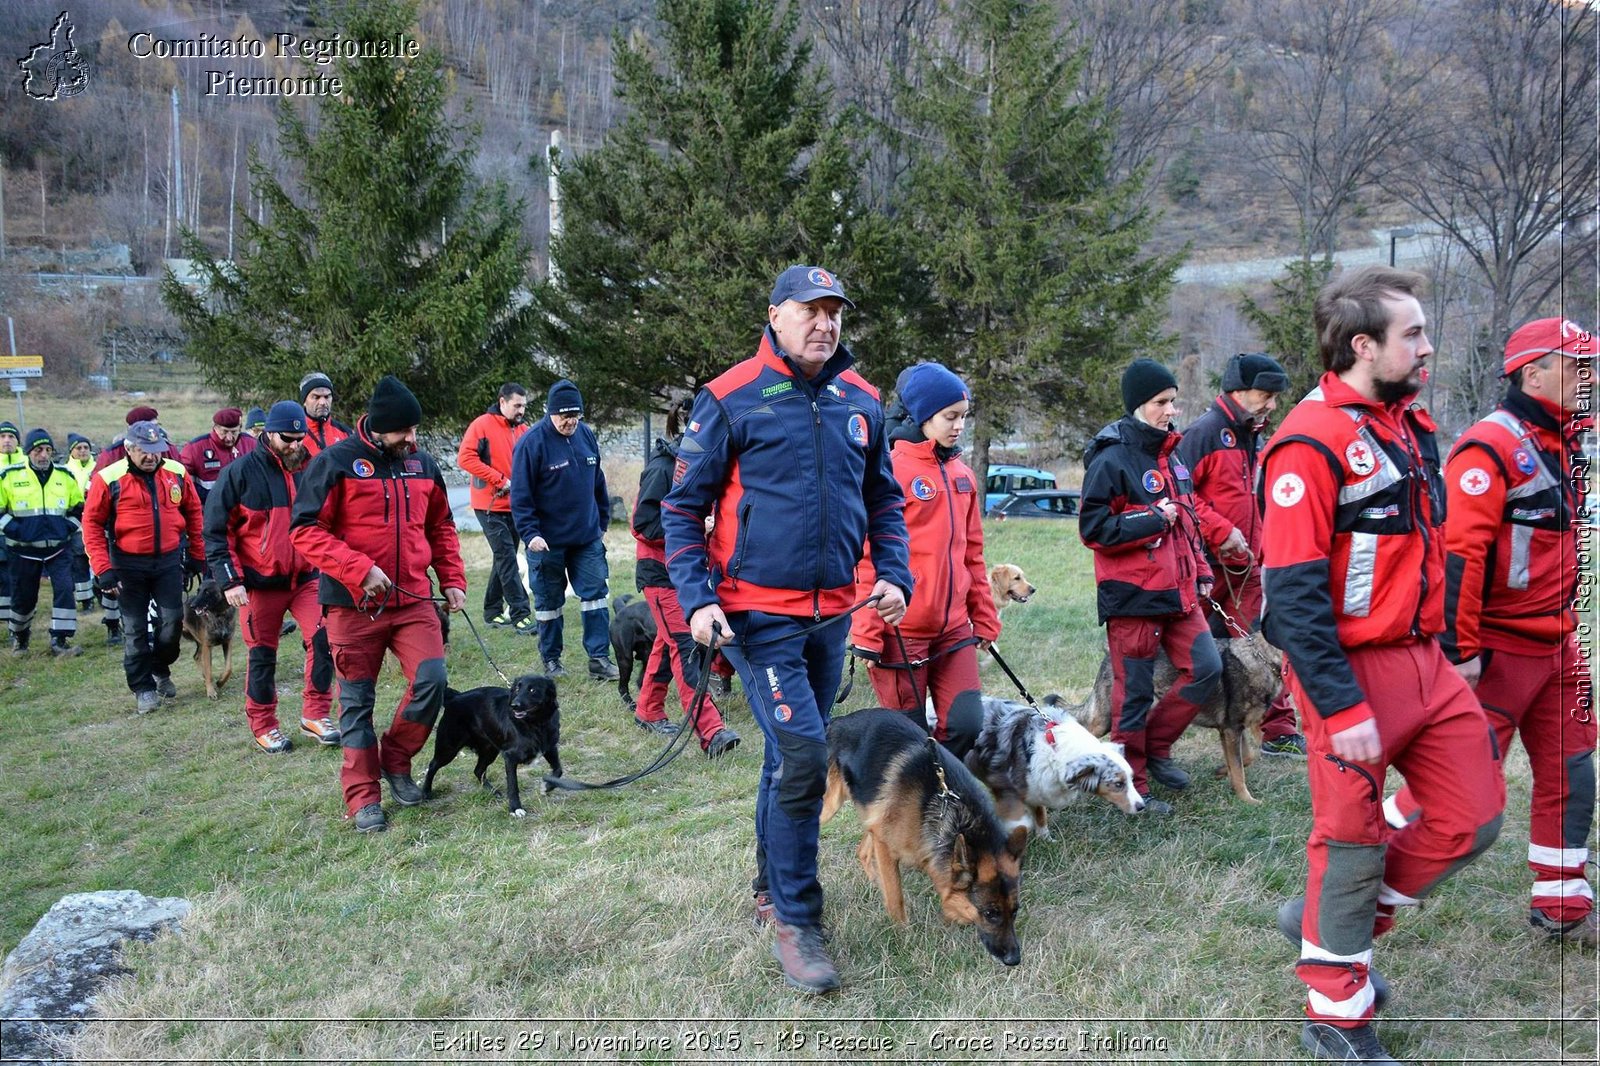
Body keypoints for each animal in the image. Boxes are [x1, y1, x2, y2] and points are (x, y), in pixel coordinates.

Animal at [422, 672, 560, 813]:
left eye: (532, 690)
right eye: (517, 688)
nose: (514, 706)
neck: (536, 724)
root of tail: (455, 697)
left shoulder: (550, 747)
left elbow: (558, 770)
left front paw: (547, 786)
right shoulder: (510, 757)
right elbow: (513, 785)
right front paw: (515, 808)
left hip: (489, 751)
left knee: (478, 770)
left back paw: (492, 791)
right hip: (449, 748)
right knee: (432, 765)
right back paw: (426, 792)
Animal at [819, 704, 1030, 960]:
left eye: (1015, 911)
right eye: (990, 913)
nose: (1014, 959)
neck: (947, 807)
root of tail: (837, 721)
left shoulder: (887, 835)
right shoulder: (886, 845)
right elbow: (896, 897)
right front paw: (902, 934)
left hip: (874, 816)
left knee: (863, 851)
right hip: (829, 806)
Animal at [966, 694, 1145, 832]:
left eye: (1132, 780)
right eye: (1118, 784)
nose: (1141, 806)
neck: (1057, 749)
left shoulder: (1035, 787)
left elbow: (1040, 814)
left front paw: (1045, 838)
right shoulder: (1002, 784)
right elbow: (1020, 822)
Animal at [1081, 627, 1280, 800]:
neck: (1263, 660)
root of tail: (1109, 652)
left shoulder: (1233, 730)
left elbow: (1246, 758)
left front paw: (1221, 772)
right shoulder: (1232, 729)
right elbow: (1239, 771)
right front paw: (1247, 800)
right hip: (1105, 720)